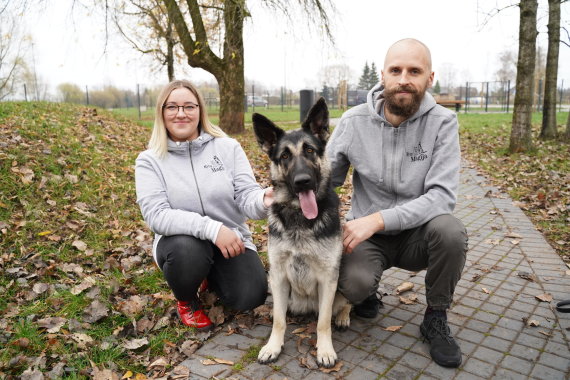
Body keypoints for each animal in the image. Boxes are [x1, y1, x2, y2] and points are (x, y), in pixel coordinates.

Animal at [251, 98, 348, 368]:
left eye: (310, 151)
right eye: (284, 156)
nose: (303, 181)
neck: (300, 219)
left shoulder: (328, 279)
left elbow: (323, 322)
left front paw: (325, 350)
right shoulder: (278, 277)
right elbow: (278, 320)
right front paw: (273, 346)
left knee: (345, 305)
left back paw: (344, 316)